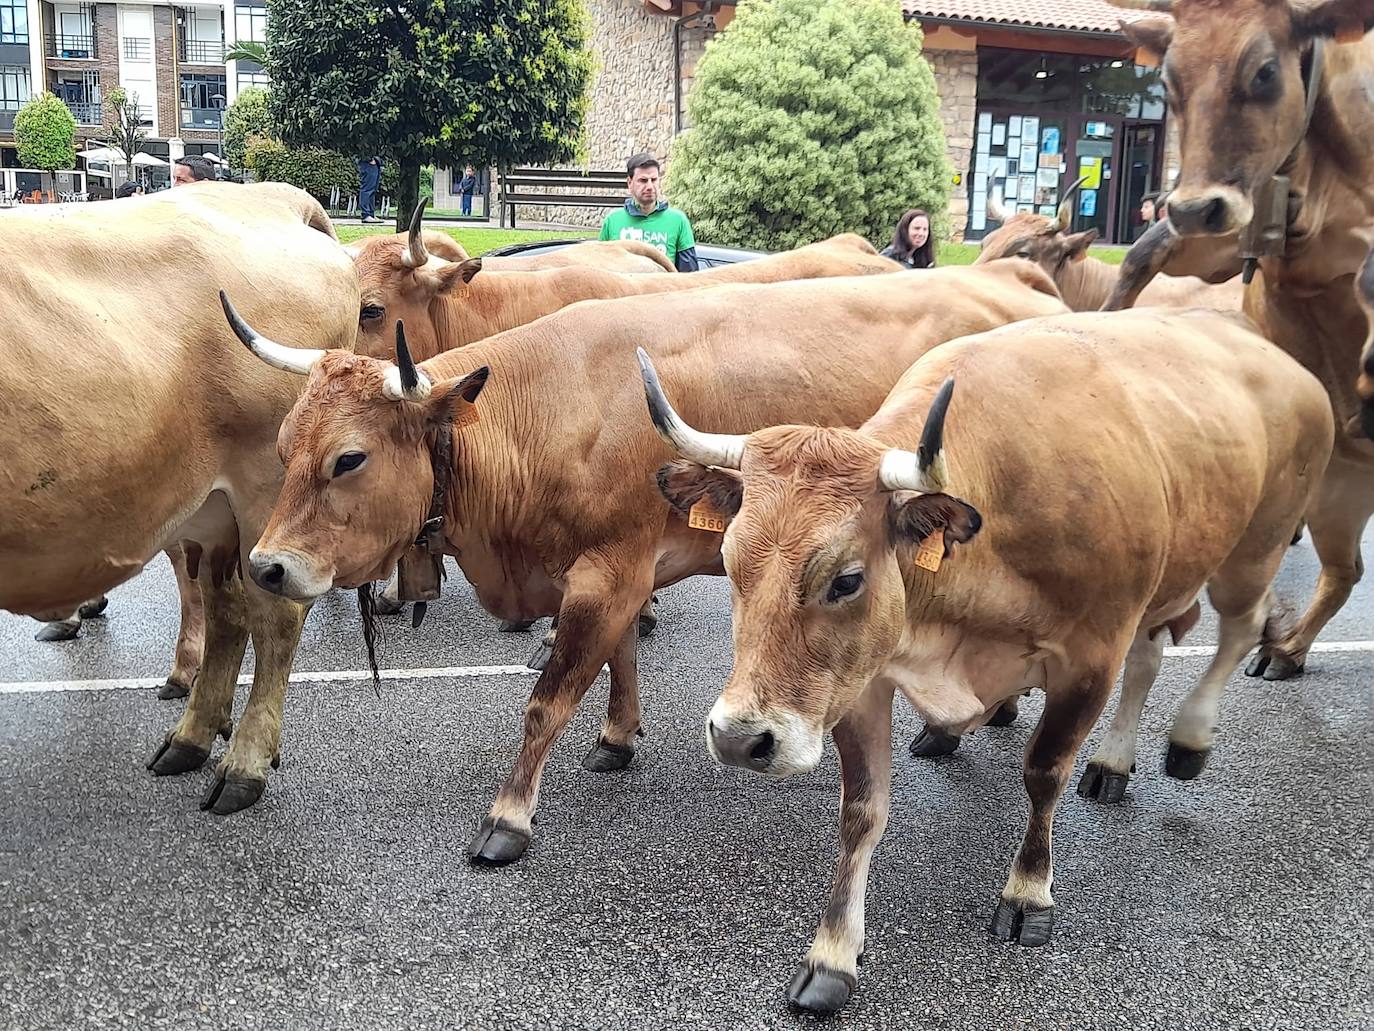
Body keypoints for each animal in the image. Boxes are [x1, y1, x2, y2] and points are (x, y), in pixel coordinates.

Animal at [2, 184, 357, 813]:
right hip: (212, 513)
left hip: (267, 491)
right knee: (226, 608)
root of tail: (271, 196)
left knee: (275, 614)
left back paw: (244, 765)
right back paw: (192, 737)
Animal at [222, 259, 1060, 863]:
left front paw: (508, 816)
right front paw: (617, 738)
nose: (265, 566)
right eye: (285, 445)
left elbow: (549, 698)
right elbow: (617, 659)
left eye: (349, 458)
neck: (545, 413)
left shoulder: (607, 573)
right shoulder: (614, 574)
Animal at [637, 309, 1335, 1017]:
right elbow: (861, 810)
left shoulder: (1090, 658)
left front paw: (1028, 892)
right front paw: (832, 953)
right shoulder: (862, 679)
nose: (738, 738)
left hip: (1254, 551)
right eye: (729, 562)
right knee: (1153, 653)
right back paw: (1107, 759)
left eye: (847, 579)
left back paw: (1189, 739)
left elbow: (1045, 772)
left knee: (1236, 634)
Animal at [1104, 2, 1374, 687]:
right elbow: (1145, 251)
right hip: (1336, 488)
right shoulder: (1228, 234)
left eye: (1265, 72)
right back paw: (1285, 645)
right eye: (1169, 81)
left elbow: (1367, 272)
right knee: (1343, 570)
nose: (1194, 205)